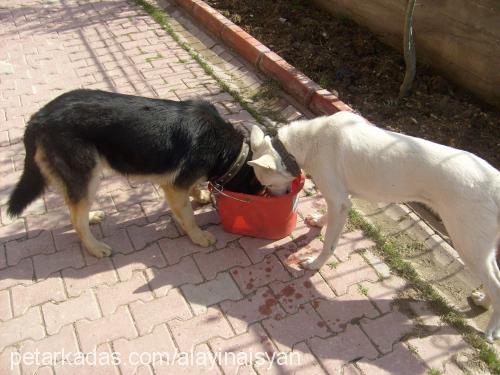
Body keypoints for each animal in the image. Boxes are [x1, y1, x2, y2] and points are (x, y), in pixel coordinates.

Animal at [7, 89, 262, 258]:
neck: (230, 152)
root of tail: (38, 118)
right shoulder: (174, 187)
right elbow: (188, 217)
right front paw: (198, 236)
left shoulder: (180, 182)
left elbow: (193, 188)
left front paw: (200, 195)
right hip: (88, 175)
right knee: (75, 219)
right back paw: (95, 247)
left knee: (74, 209)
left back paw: (91, 216)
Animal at [249, 110, 500, 342]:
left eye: (267, 184)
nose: (271, 196)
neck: (310, 140)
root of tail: (495, 182)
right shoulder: (341, 199)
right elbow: (327, 219)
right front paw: (319, 221)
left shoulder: (338, 201)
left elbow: (329, 243)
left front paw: (314, 264)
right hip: (482, 248)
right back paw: (482, 302)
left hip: (468, 246)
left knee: (495, 285)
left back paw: (490, 330)